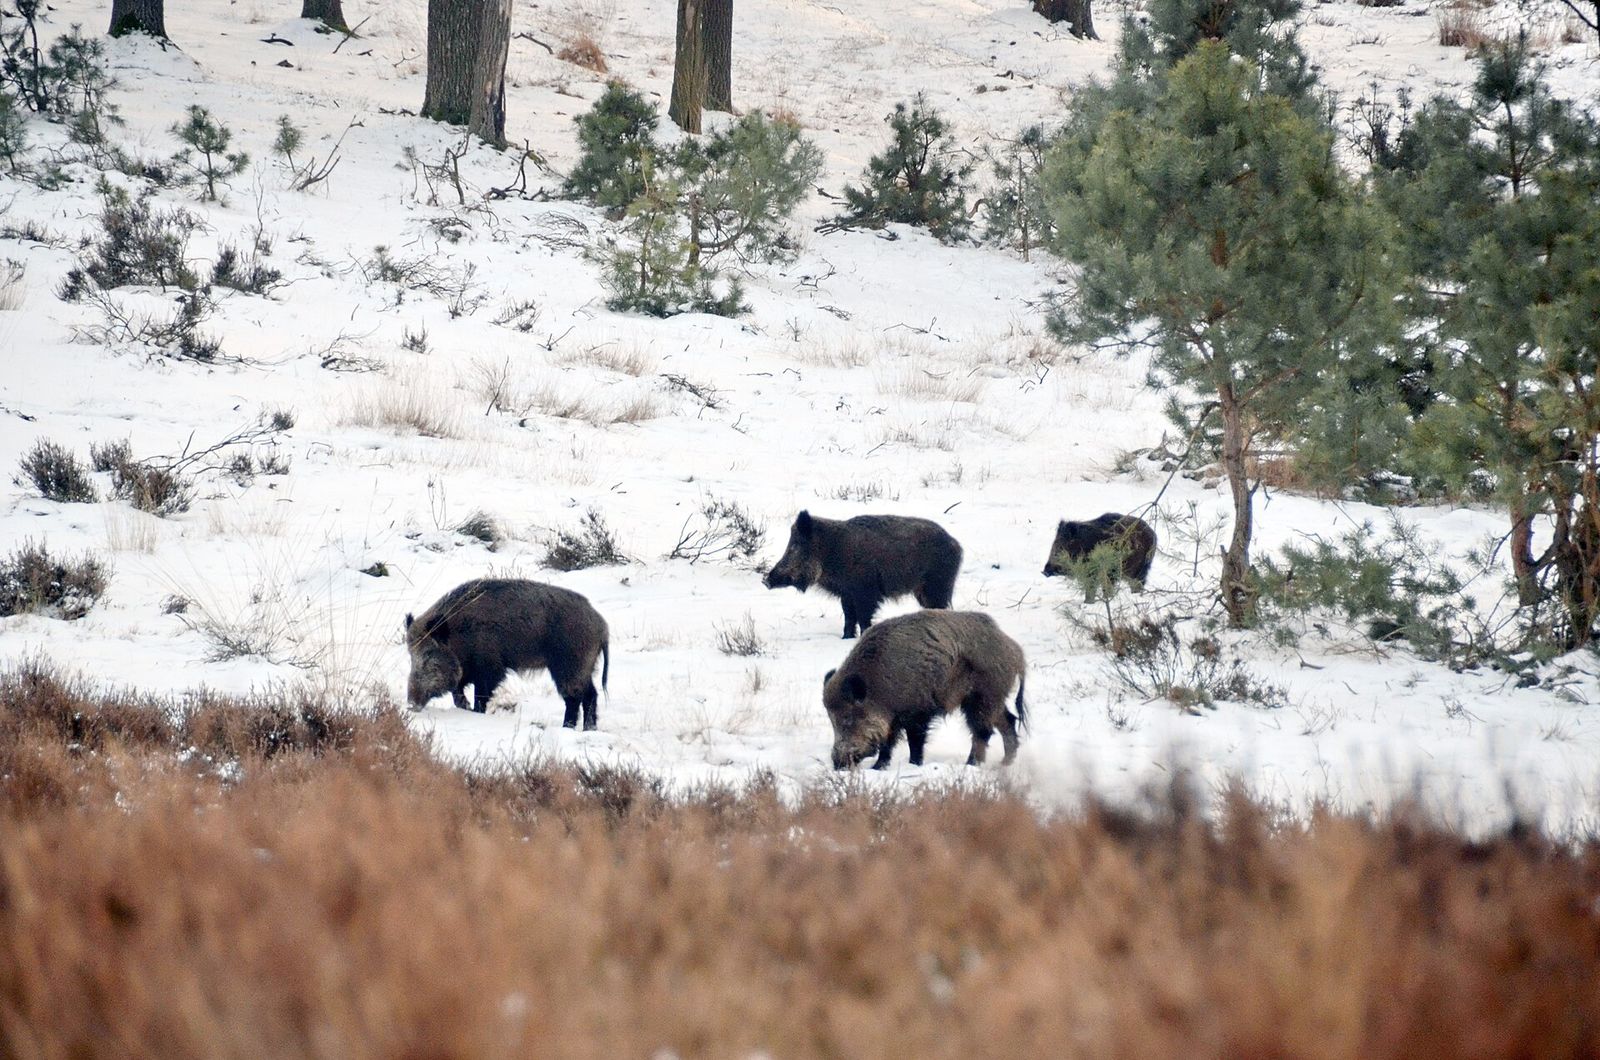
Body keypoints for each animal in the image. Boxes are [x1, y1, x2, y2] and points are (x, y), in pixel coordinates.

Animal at [404, 578, 609, 729]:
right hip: (584, 668)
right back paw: (588, 729)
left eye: (429, 654)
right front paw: (466, 707)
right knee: (590, 695)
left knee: (574, 698)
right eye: (411, 656)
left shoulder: (490, 669)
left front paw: (475, 712)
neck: (458, 635)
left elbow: (480, 696)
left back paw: (568, 728)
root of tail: (602, 626)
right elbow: (457, 693)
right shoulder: (468, 672)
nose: (411, 704)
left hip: (570, 666)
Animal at [763, 511, 962, 638]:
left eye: (795, 546)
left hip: (937, 585)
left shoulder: (865, 591)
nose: (766, 580)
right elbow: (849, 617)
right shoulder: (846, 593)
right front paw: (846, 638)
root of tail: (956, 545)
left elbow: (863, 617)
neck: (831, 552)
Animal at [822, 609, 1026, 770]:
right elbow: (887, 743)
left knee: (982, 731)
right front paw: (878, 768)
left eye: (847, 718)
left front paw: (913, 765)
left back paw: (970, 765)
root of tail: (1015, 651)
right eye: (831, 720)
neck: (878, 686)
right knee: (1007, 720)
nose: (838, 764)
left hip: (981, 696)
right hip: (993, 698)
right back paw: (1004, 764)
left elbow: (914, 741)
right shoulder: (893, 719)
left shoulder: (917, 712)